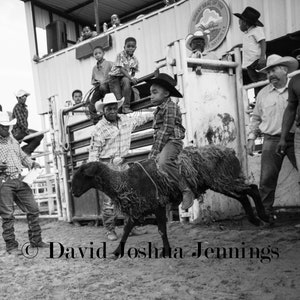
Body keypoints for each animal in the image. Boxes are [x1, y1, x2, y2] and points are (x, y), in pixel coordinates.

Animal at [71, 145, 268, 258]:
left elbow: (161, 230)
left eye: (82, 174)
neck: (125, 182)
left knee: (252, 189)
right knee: (243, 196)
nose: (72, 192)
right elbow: (126, 230)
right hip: (221, 181)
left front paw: (166, 251)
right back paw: (255, 220)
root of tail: (229, 151)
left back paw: (265, 218)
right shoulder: (138, 209)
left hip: (222, 179)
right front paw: (117, 252)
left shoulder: (158, 205)